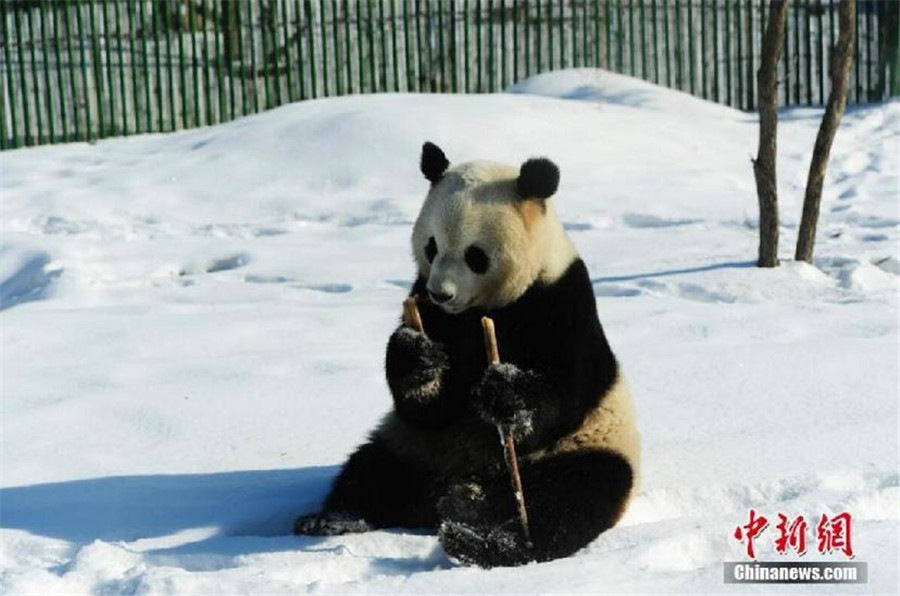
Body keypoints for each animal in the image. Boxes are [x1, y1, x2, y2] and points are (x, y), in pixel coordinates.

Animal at [294, 142, 641, 568]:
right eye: (431, 246)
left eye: (475, 255)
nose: (441, 293)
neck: (484, 307)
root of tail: (460, 486)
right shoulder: (429, 308)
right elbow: (429, 405)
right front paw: (419, 359)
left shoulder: (561, 302)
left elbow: (564, 391)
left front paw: (504, 394)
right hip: (414, 447)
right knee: (372, 472)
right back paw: (333, 519)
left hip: (582, 449)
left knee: (573, 497)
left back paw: (489, 543)